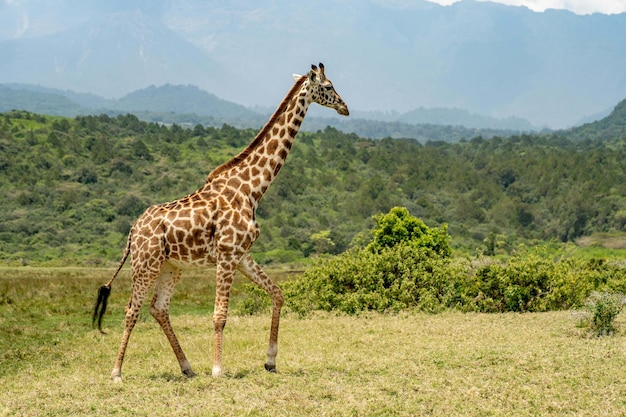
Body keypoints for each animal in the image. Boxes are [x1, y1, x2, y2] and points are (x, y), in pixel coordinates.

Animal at [93, 62, 348, 380]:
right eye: (328, 86)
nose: (345, 107)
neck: (252, 190)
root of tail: (132, 231)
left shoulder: (241, 254)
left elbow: (277, 294)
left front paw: (270, 361)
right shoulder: (227, 255)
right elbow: (219, 315)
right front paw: (217, 369)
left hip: (170, 266)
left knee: (159, 309)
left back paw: (187, 368)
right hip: (145, 263)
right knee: (132, 310)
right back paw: (116, 372)